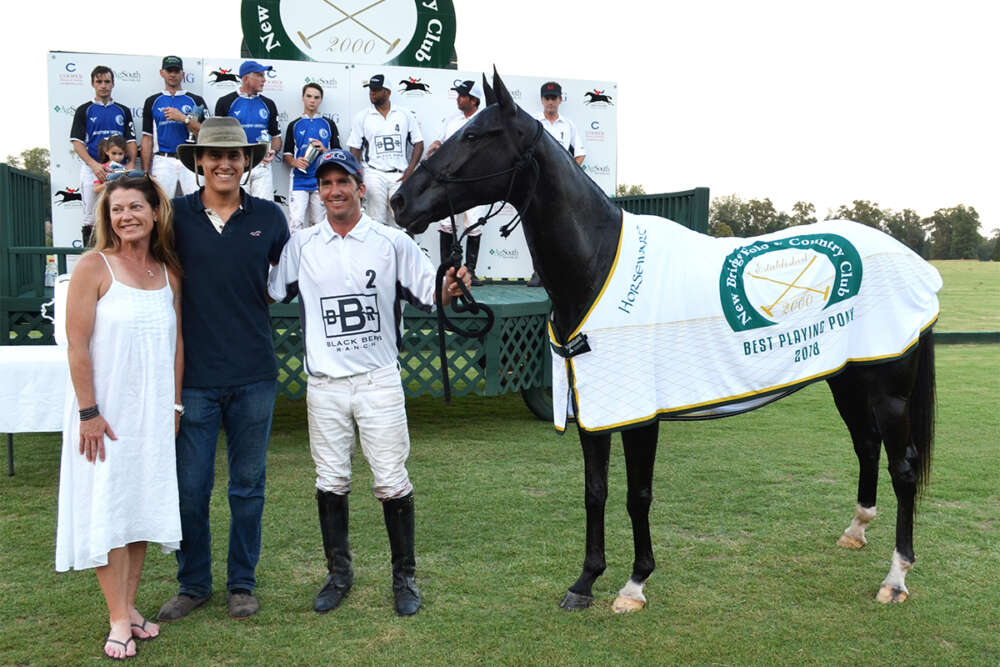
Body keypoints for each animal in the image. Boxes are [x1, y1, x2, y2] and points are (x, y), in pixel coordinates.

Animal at [386, 72, 932, 612]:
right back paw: (856, 531)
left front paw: (634, 584)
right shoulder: (594, 410)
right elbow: (595, 491)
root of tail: (911, 259)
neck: (597, 262)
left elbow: (638, 495)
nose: (400, 201)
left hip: (887, 392)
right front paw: (585, 581)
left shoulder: (638, 414)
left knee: (902, 468)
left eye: (476, 134)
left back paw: (896, 577)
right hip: (845, 379)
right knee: (865, 445)